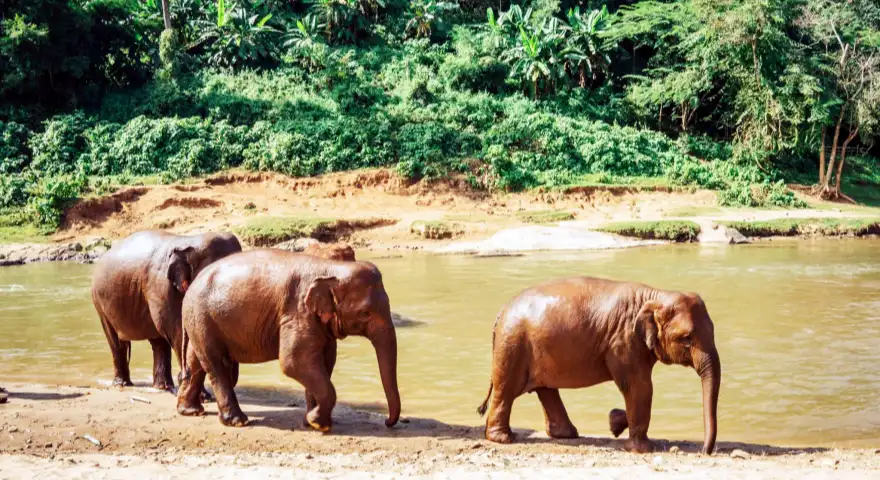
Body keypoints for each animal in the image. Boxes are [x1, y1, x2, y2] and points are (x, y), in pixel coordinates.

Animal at [90, 230, 242, 392]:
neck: (190, 241)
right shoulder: (161, 286)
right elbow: (175, 329)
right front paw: (203, 394)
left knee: (158, 342)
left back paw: (162, 387)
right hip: (99, 301)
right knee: (116, 341)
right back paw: (123, 384)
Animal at [176, 249, 401, 432]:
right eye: (365, 313)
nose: (387, 422)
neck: (330, 268)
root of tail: (191, 286)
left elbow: (324, 362)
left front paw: (312, 422)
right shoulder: (297, 311)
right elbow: (294, 362)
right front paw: (317, 422)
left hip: (199, 320)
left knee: (196, 362)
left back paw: (190, 411)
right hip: (202, 317)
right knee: (216, 365)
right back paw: (237, 421)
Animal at [477, 276, 721, 455]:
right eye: (687, 338)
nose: (704, 451)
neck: (656, 295)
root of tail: (501, 311)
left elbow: (639, 389)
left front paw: (614, 422)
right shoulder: (623, 341)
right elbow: (639, 387)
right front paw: (642, 448)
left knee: (545, 390)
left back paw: (566, 435)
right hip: (513, 344)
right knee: (507, 389)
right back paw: (504, 439)